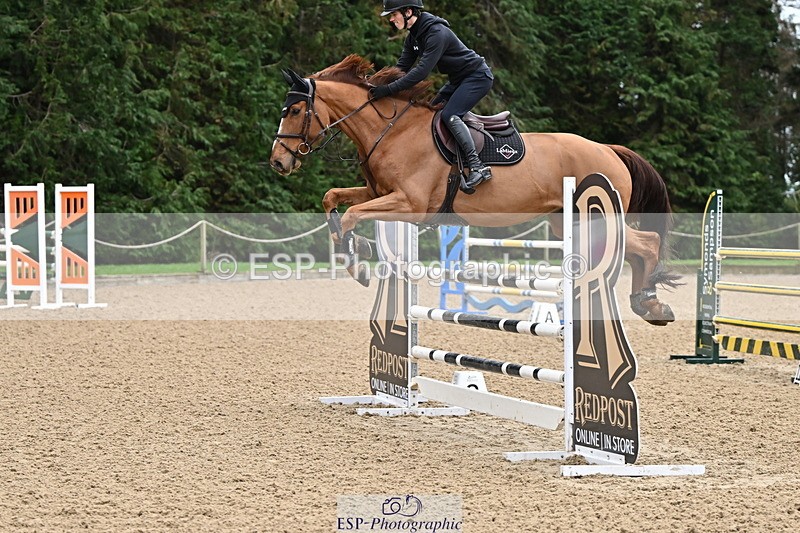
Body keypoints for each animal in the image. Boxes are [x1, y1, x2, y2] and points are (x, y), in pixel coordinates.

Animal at [270, 55, 678, 326]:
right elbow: (334, 200)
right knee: (637, 250)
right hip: (567, 222)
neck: (391, 131)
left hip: (594, 219)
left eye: (294, 111)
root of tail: (610, 149)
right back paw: (649, 304)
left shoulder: (410, 204)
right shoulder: (378, 194)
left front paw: (357, 263)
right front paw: (354, 251)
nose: (277, 162)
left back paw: (650, 304)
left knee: (647, 245)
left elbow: (352, 215)